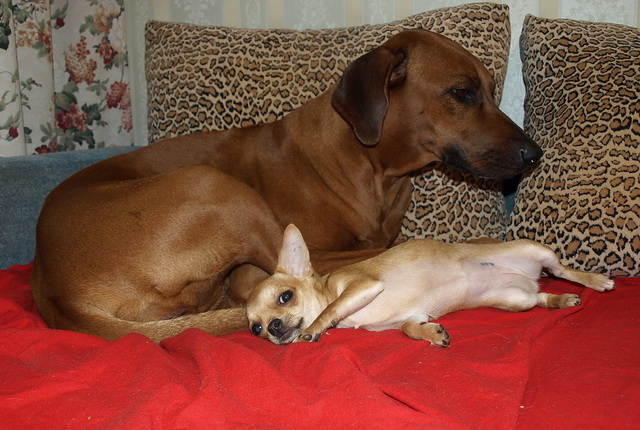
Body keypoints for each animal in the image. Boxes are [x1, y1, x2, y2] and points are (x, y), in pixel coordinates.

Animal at [30, 29, 542, 342]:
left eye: (492, 90)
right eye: (462, 93)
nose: (534, 154)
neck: (372, 168)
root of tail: (54, 291)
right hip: (218, 188)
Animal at [246, 224, 614, 346]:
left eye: (286, 297)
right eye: (255, 329)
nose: (273, 327)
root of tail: (528, 278)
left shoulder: (362, 287)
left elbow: (331, 308)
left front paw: (314, 329)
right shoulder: (409, 316)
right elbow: (409, 328)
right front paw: (432, 334)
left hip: (538, 251)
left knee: (564, 269)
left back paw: (595, 280)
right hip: (515, 300)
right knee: (541, 296)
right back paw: (562, 301)